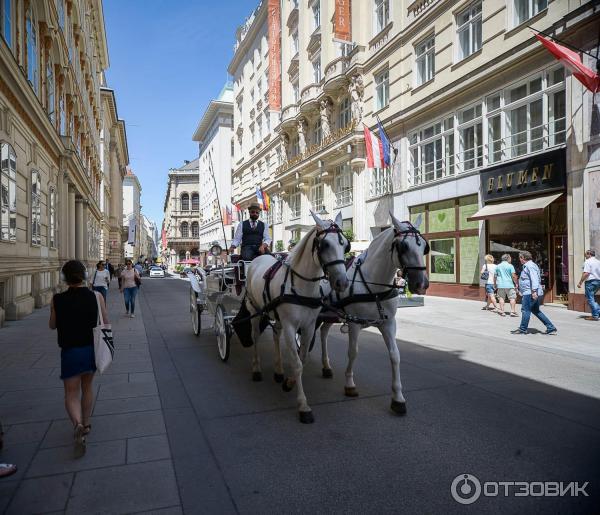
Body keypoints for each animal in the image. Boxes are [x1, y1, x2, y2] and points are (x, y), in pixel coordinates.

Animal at [244, 210, 350, 424]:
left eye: (345, 245)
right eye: (325, 245)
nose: (342, 283)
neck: (303, 286)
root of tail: (259, 258)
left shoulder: (308, 326)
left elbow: (304, 358)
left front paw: (289, 382)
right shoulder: (291, 326)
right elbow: (297, 363)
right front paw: (303, 405)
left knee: (275, 335)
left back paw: (278, 371)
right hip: (254, 311)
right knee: (256, 337)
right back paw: (257, 369)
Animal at [316, 213, 428, 416]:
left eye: (424, 246)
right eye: (404, 246)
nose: (422, 284)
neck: (374, 284)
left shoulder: (388, 323)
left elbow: (395, 355)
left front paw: (398, 398)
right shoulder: (354, 323)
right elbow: (353, 352)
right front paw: (350, 384)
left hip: (330, 314)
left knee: (324, 333)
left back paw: (326, 366)